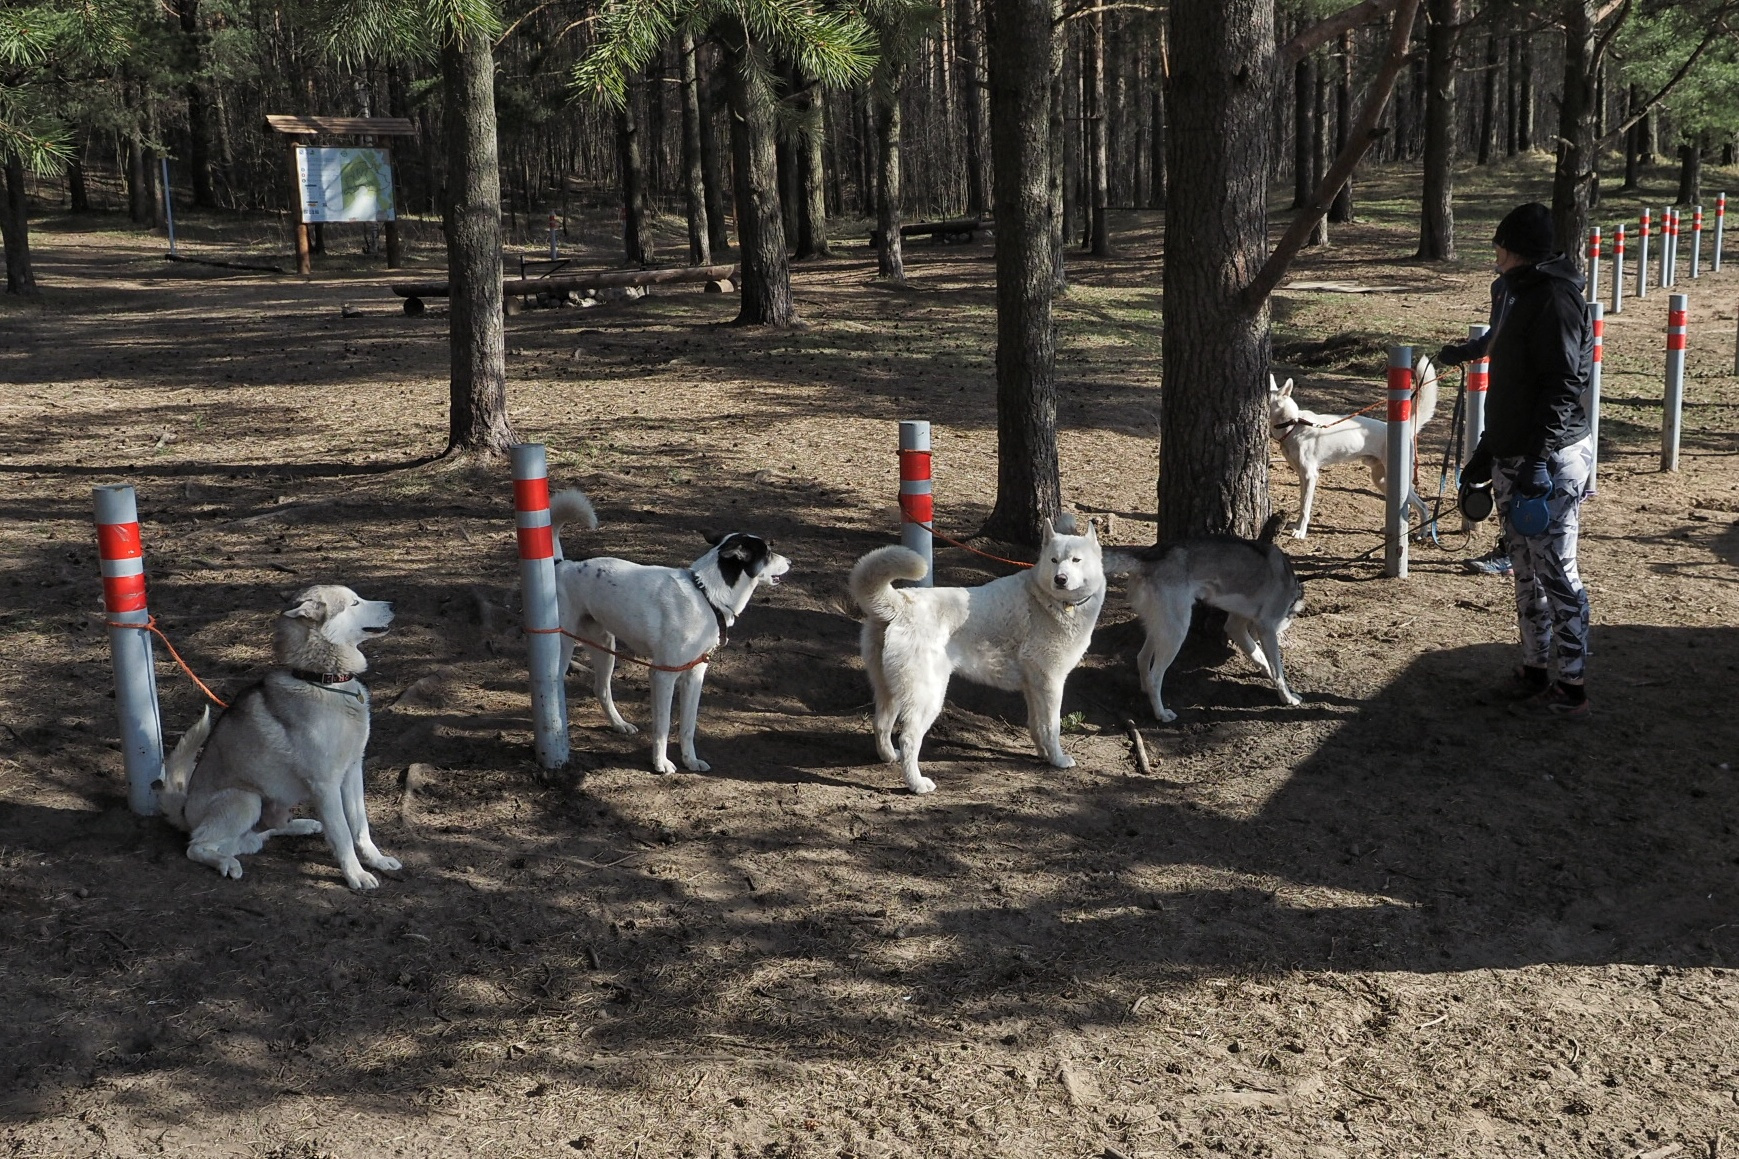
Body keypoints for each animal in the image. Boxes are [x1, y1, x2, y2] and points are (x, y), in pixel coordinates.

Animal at [157, 581, 399, 887]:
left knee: (263, 833)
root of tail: (185, 810)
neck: (324, 681)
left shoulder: (353, 769)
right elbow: (343, 833)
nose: (394, 604)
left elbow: (360, 825)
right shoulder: (325, 784)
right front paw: (356, 874)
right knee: (197, 846)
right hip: (246, 799)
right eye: (354, 603)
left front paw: (376, 860)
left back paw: (301, 825)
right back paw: (225, 862)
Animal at [549, 483, 789, 772]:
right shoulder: (663, 675)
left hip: (606, 646)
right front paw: (661, 763)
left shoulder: (695, 675)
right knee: (556, 682)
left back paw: (619, 724)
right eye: (768, 552)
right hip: (563, 644)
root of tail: (562, 566)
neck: (706, 595)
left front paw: (690, 760)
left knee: (601, 689)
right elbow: (663, 726)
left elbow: (688, 726)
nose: (791, 562)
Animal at [848, 518, 1106, 790]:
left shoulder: (1034, 687)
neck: (1049, 600)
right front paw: (1057, 759)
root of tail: (901, 604)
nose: (1060, 579)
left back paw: (888, 757)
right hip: (928, 696)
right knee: (908, 738)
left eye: (1076, 560)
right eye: (1054, 560)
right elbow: (1051, 727)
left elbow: (1036, 726)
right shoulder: (1051, 683)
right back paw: (917, 784)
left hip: (890, 690)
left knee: (880, 723)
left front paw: (1043, 754)